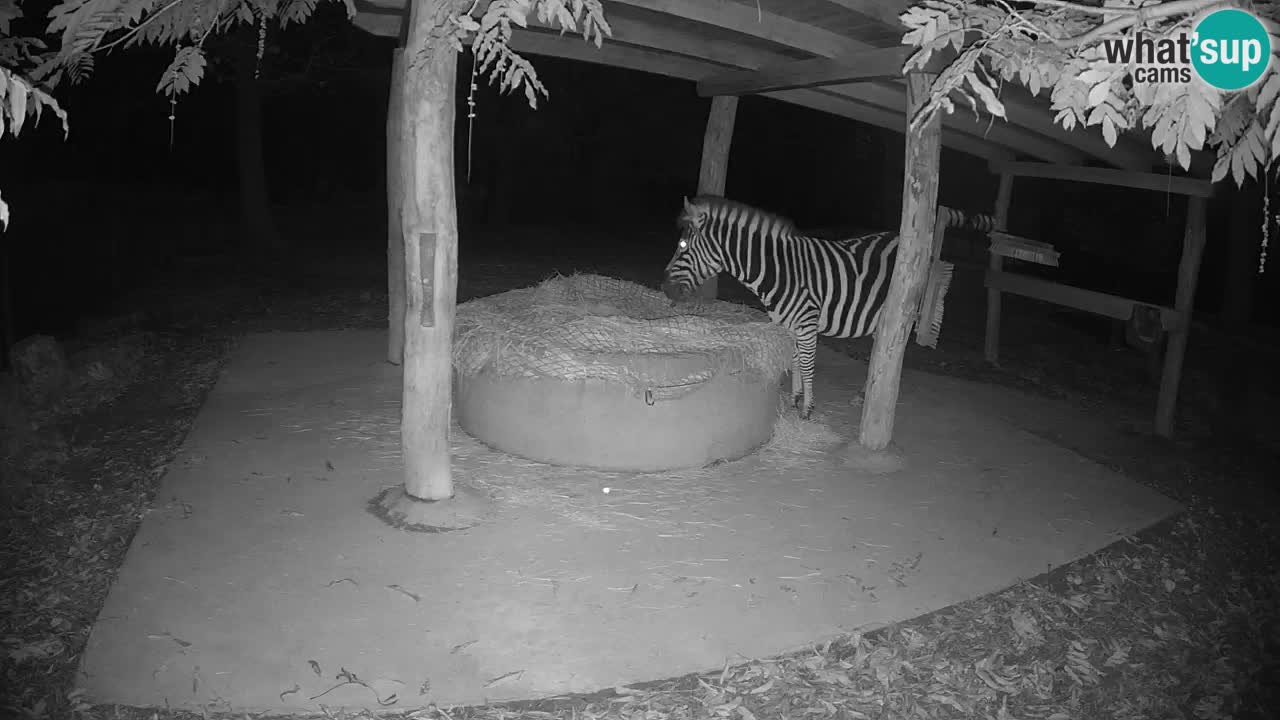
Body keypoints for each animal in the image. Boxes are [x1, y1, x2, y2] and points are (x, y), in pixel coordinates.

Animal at [662, 196, 980, 420]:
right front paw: (795, 398)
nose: (665, 288)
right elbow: (793, 360)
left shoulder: (806, 322)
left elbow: (806, 363)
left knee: (890, 354)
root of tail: (903, 238)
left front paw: (807, 408)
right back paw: (864, 395)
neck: (779, 271)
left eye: (682, 245)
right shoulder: (787, 323)